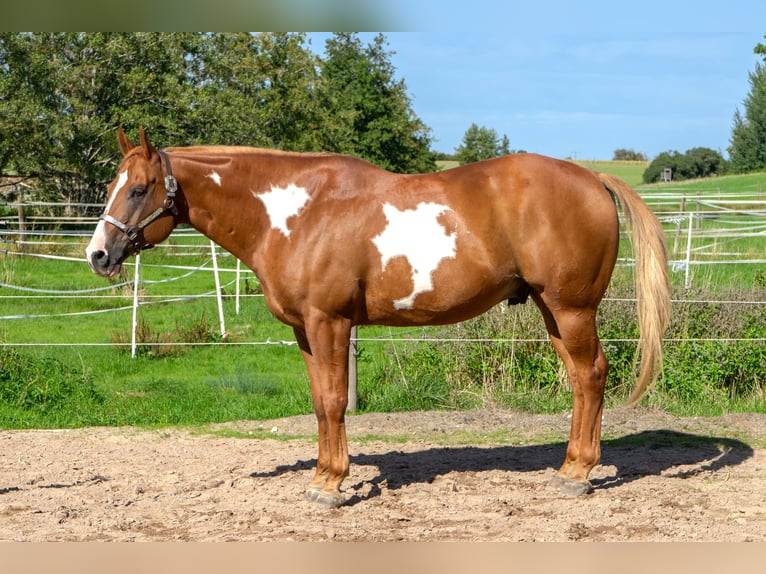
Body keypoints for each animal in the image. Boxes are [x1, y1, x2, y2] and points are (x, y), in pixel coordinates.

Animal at [86, 128, 670, 508]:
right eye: (113, 186)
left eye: (137, 188)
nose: (98, 255)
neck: (298, 214)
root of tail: (592, 178)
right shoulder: (305, 329)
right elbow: (319, 403)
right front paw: (322, 477)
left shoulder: (330, 323)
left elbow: (335, 401)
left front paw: (332, 486)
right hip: (553, 310)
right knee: (579, 379)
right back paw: (570, 466)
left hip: (572, 310)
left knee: (591, 376)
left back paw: (579, 474)